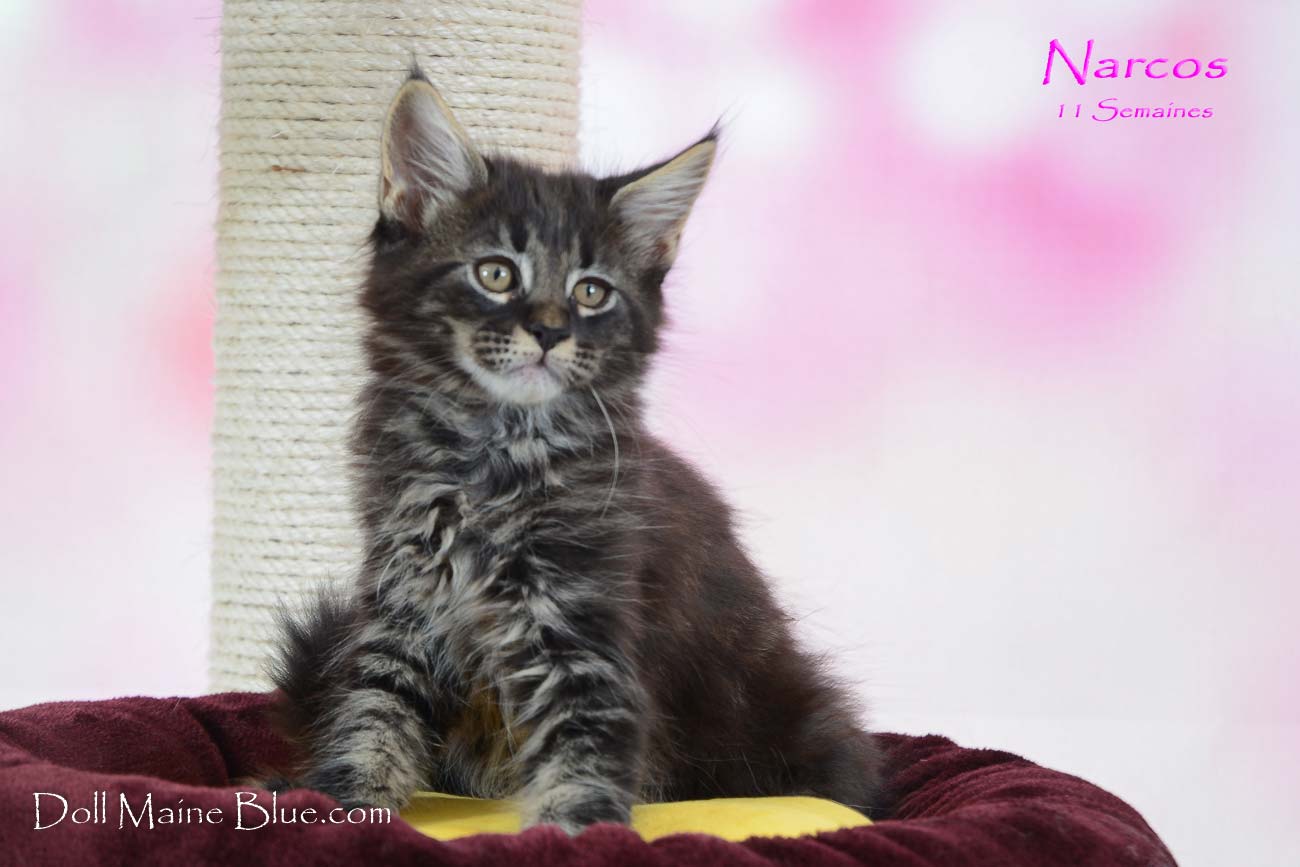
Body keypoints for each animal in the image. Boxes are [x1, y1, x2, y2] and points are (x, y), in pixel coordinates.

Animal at [268, 67, 883, 835]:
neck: (490, 457)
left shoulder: (581, 619)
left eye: (592, 292)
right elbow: (373, 711)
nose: (551, 330)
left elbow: (580, 741)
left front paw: (571, 831)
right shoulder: (401, 598)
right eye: (497, 273)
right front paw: (345, 803)